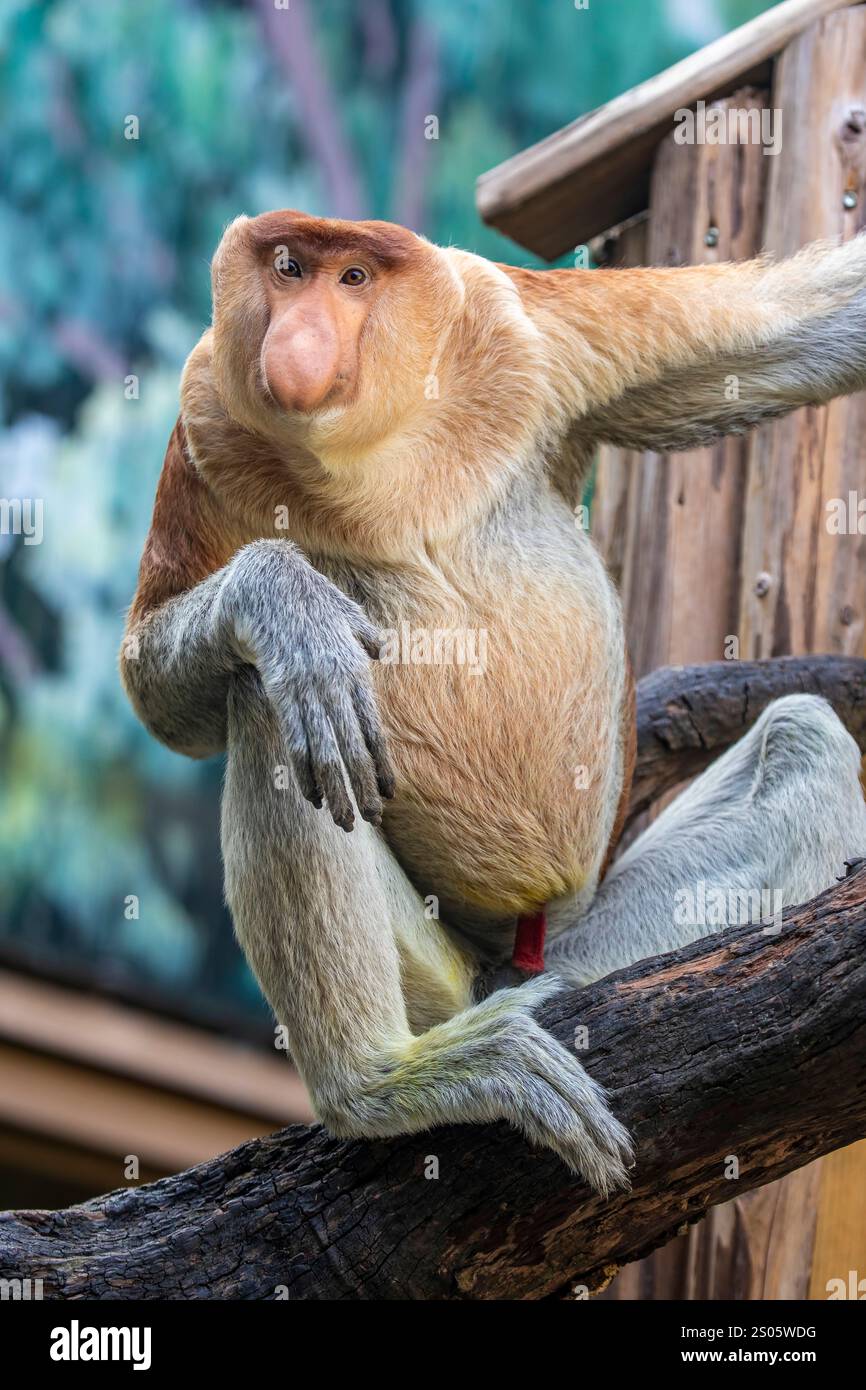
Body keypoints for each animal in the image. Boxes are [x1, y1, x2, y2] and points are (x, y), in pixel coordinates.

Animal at [121, 209, 866, 1194]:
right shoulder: (206, 413)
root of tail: (505, 967)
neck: (377, 447)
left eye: (353, 277)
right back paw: (381, 1080)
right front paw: (286, 606)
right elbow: (161, 689)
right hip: (438, 978)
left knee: (804, 733)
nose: (298, 339)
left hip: (606, 944)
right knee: (272, 700)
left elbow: (805, 329)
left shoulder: (524, 324)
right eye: (287, 267)